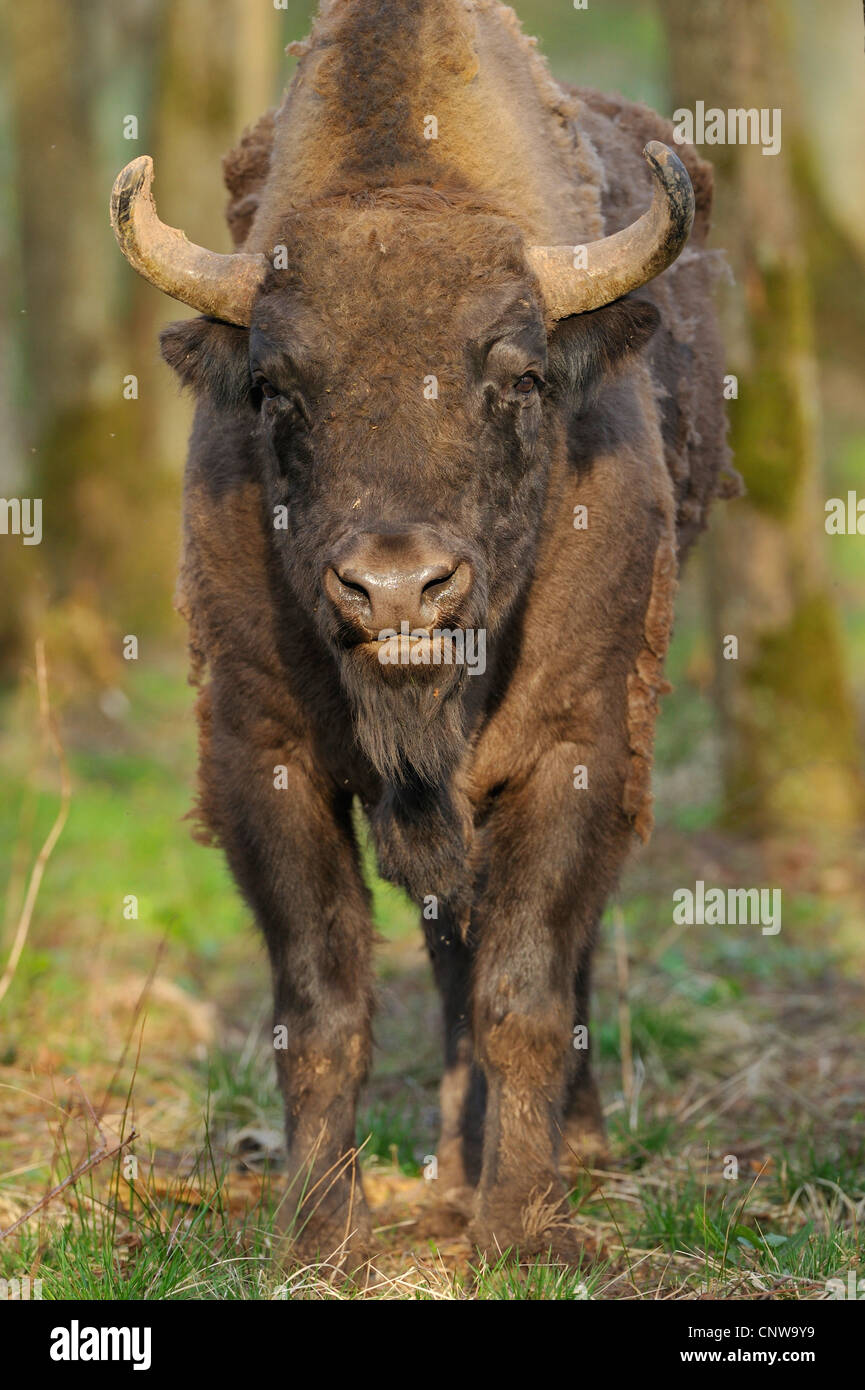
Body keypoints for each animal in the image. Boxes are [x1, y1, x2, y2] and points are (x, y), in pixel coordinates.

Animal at [111, 0, 739, 1267]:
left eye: (519, 374)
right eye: (275, 386)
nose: (399, 591)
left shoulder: (576, 751)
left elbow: (525, 987)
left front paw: (524, 1224)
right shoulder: (262, 756)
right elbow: (326, 1001)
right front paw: (319, 1233)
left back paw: (548, 1158)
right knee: (448, 952)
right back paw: (449, 1175)